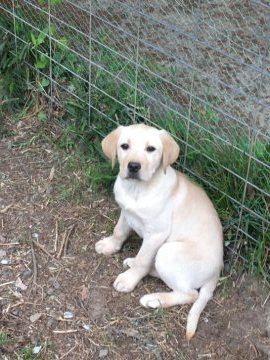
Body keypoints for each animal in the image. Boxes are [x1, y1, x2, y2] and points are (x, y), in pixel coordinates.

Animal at [96, 124, 223, 340]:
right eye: (124, 146)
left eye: (151, 149)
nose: (133, 166)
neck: (137, 190)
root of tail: (217, 272)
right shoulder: (126, 212)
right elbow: (119, 230)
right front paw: (109, 245)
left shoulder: (156, 233)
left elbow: (143, 259)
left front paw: (129, 280)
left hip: (168, 251)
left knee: (191, 293)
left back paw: (154, 299)